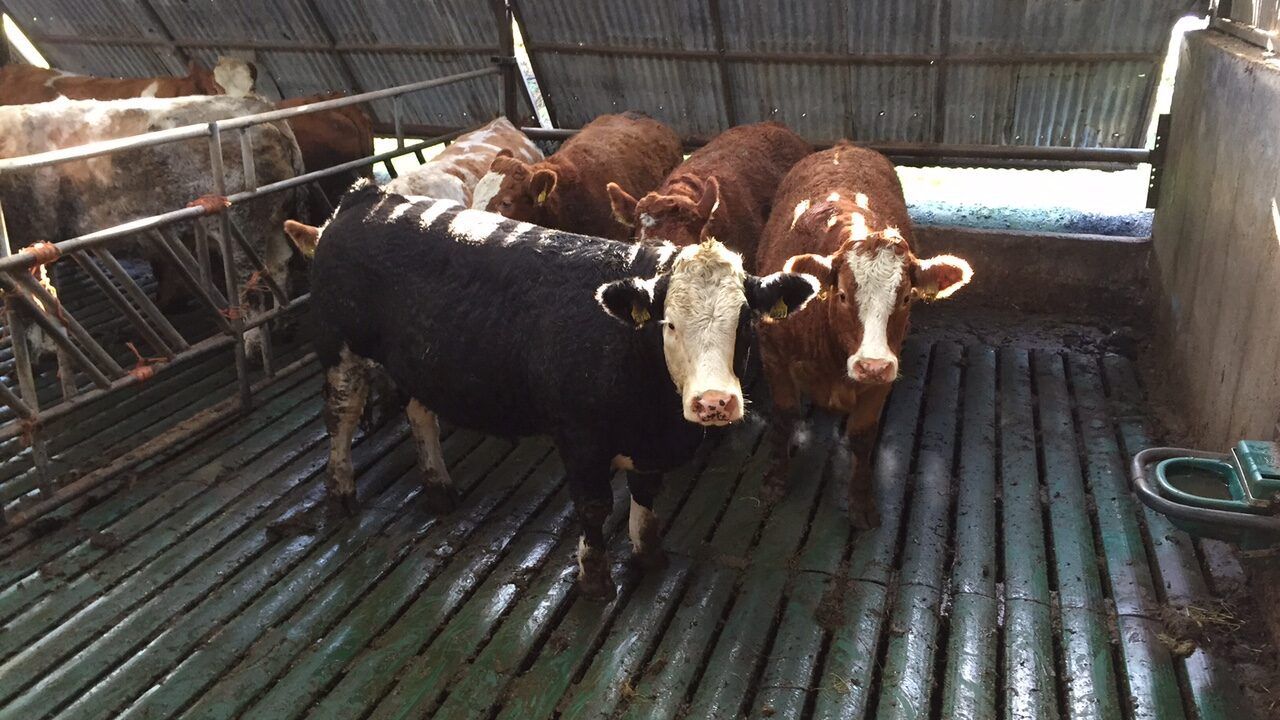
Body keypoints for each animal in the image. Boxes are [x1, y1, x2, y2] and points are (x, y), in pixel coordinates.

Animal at [0, 95, 305, 356]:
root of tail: (261, 107)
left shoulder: (27, 232)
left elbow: (34, 298)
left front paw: (45, 348)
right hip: (273, 221)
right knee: (279, 265)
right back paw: (282, 325)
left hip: (241, 225)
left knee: (251, 283)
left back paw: (253, 346)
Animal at [309, 180, 819, 598]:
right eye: (669, 324)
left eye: (745, 322)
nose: (714, 401)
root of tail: (367, 195)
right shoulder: (579, 437)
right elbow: (593, 508)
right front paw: (594, 578)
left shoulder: (647, 443)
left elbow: (645, 493)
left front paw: (647, 553)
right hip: (338, 342)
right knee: (341, 414)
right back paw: (341, 492)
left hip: (422, 361)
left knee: (420, 413)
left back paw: (438, 486)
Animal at [755, 143, 972, 529]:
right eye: (842, 295)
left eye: (906, 298)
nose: (871, 365)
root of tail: (843, 147)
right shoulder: (773, 354)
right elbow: (784, 415)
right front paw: (774, 481)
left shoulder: (883, 378)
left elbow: (861, 435)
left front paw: (862, 502)